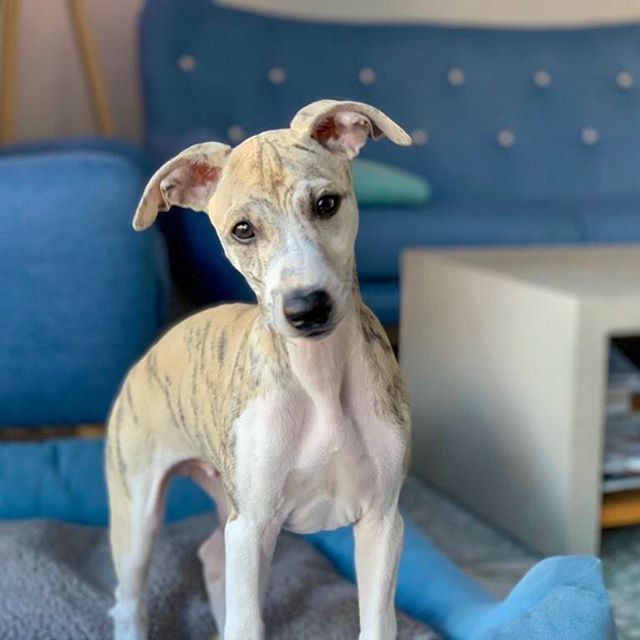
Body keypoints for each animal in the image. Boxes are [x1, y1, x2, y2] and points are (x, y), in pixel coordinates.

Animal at [105, 100, 412, 640]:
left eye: (326, 204)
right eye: (242, 230)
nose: (306, 307)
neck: (318, 379)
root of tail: (154, 349)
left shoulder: (382, 521)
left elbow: (378, 624)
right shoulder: (250, 529)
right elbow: (247, 624)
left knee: (211, 556)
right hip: (138, 510)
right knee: (129, 599)